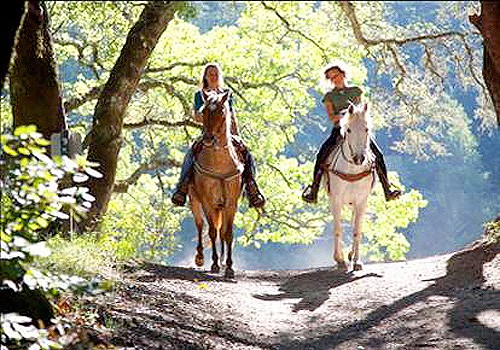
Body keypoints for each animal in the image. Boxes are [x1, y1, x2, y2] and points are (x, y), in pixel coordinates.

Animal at [187, 90, 243, 278]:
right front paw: (215, 264)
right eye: (203, 111)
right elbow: (212, 231)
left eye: (222, 111)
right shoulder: (207, 202)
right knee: (200, 225)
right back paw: (200, 258)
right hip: (195, 201)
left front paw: (229, 267)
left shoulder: (231, 203)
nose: (209, 139)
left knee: (222, 231)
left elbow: (228, 233)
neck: (219, 164)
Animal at [326, 102, 374, 272]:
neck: (352, 170)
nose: (359, 158)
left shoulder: (362, 201)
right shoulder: (336, 200)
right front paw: (339, 260)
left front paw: (357, 261)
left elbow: (357, 230)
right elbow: (338, 228)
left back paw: (351, 255)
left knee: (354, 223)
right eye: (348, 130)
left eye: (366, 129)